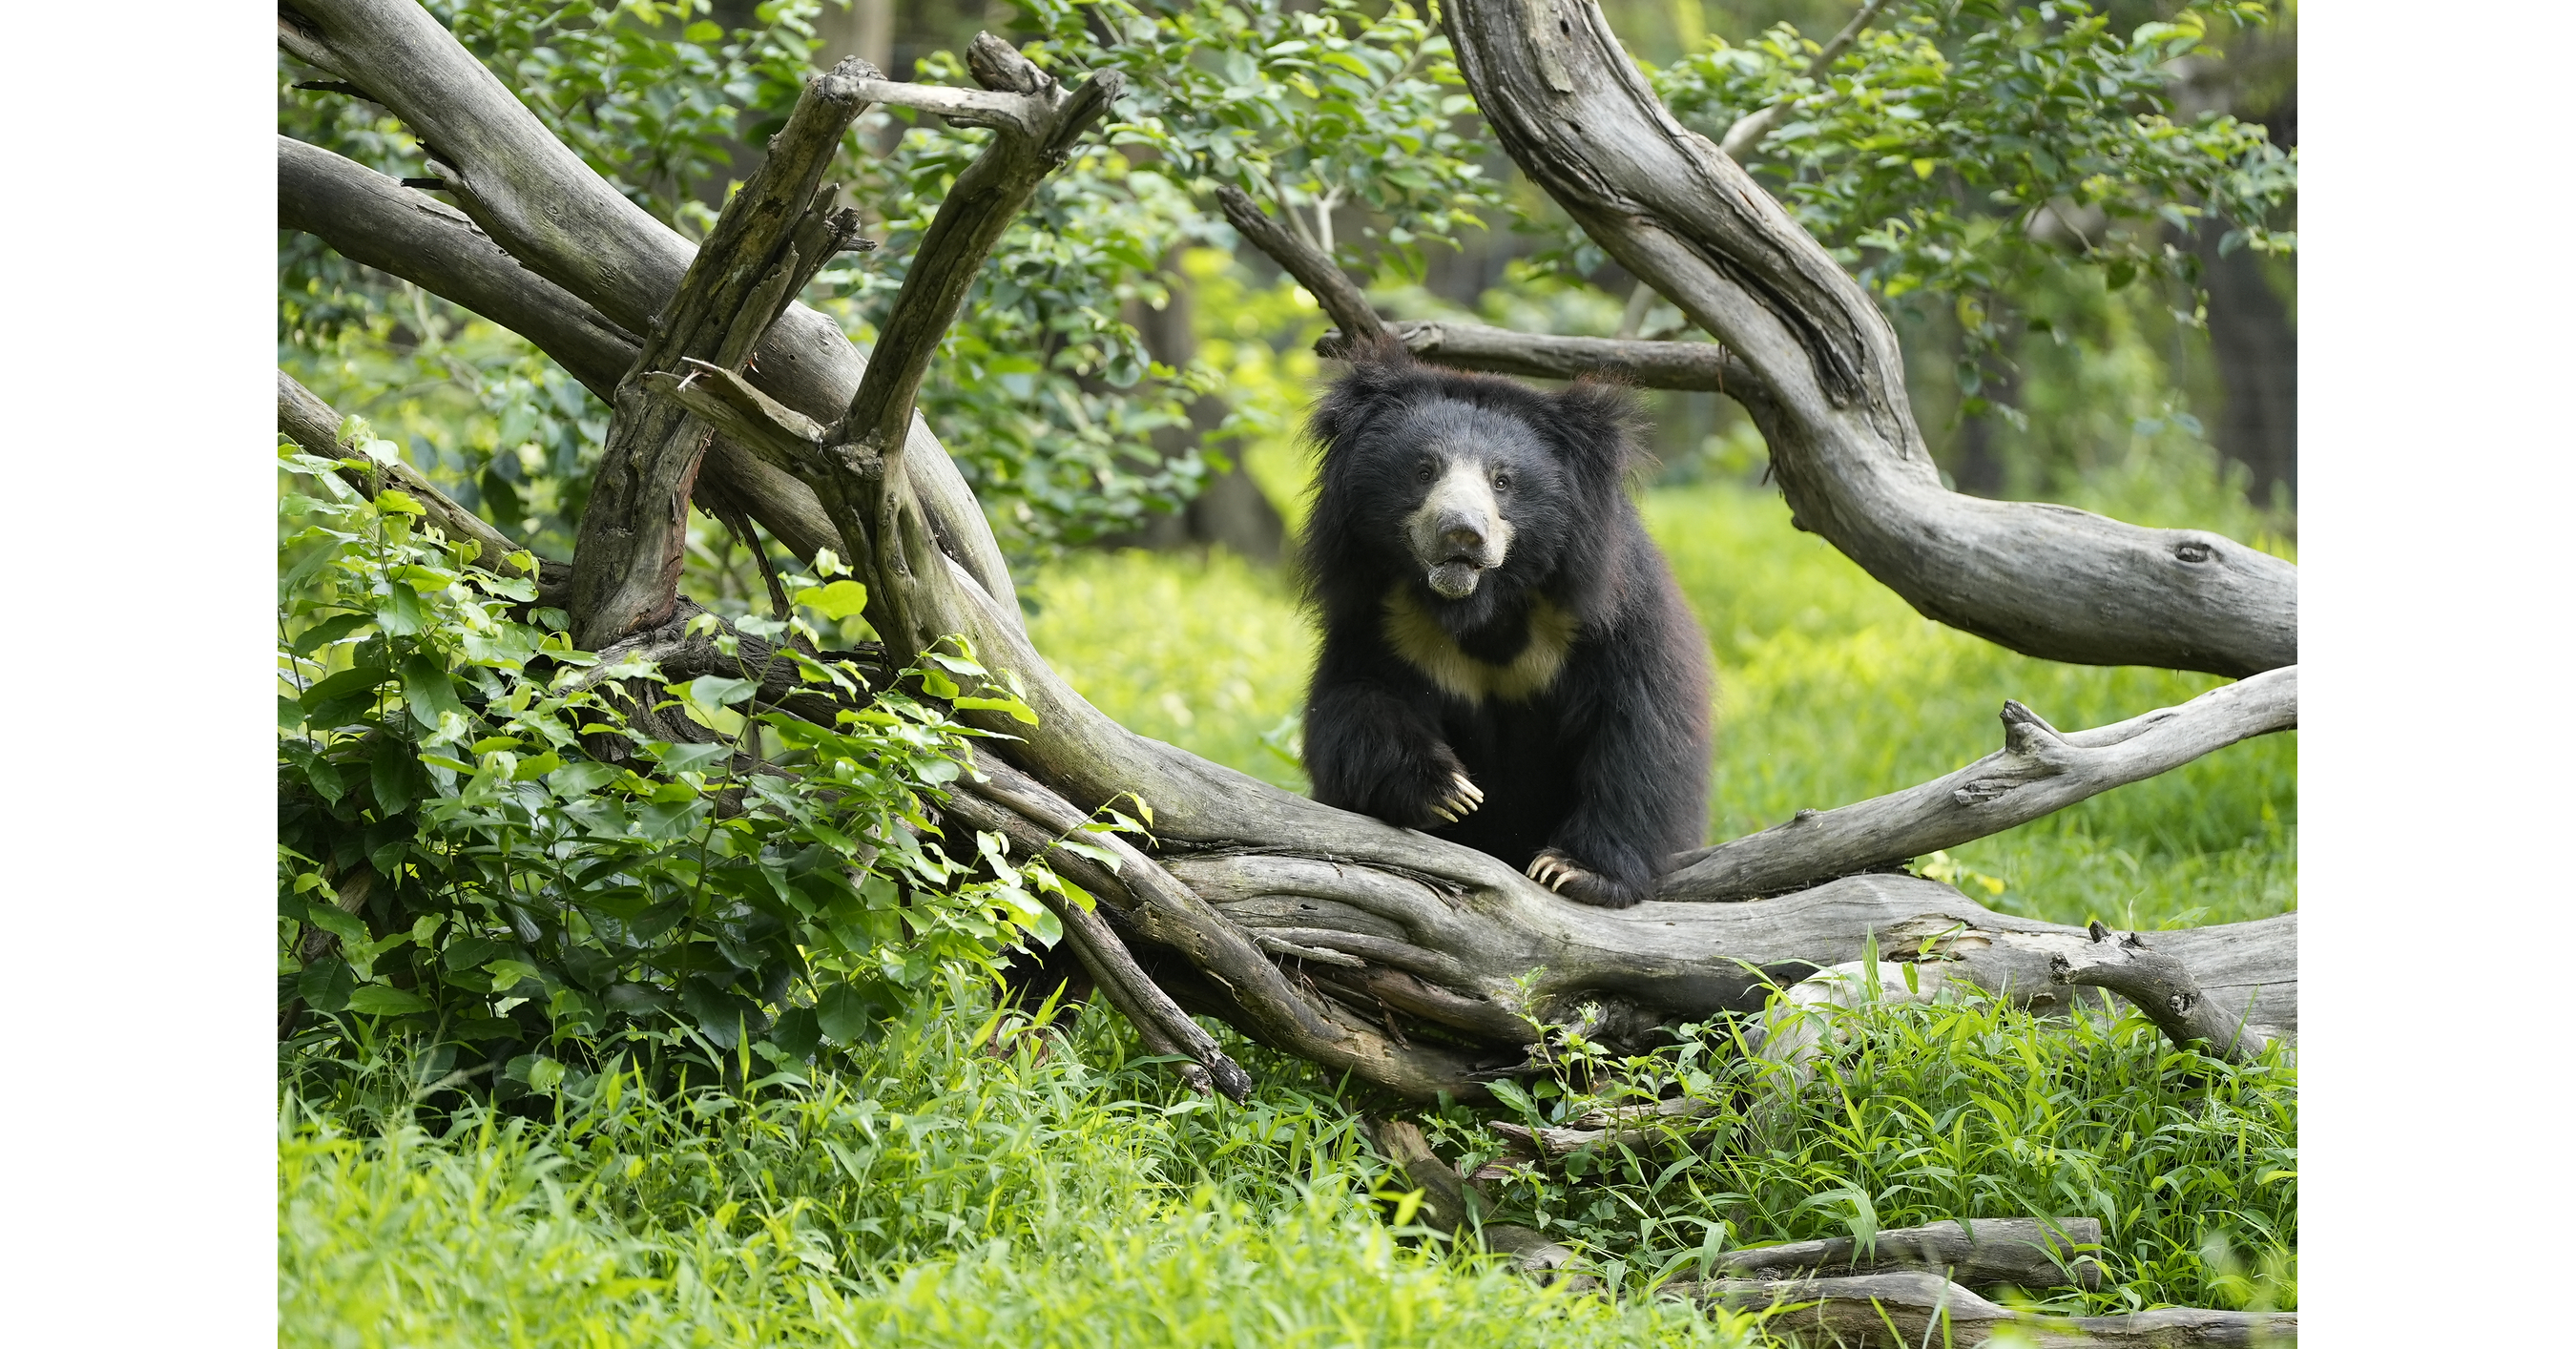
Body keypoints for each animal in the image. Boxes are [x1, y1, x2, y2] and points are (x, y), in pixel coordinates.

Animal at [1297, 338, 1714, 910]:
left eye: (1502, 481)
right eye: (1424, 470)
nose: (1461, 534)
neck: (1481, 606)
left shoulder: (1610, 612)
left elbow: (1640, 726)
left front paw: (1574, 871)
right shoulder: (1382, 619)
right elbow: (1354, 701)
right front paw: (1448, 790)